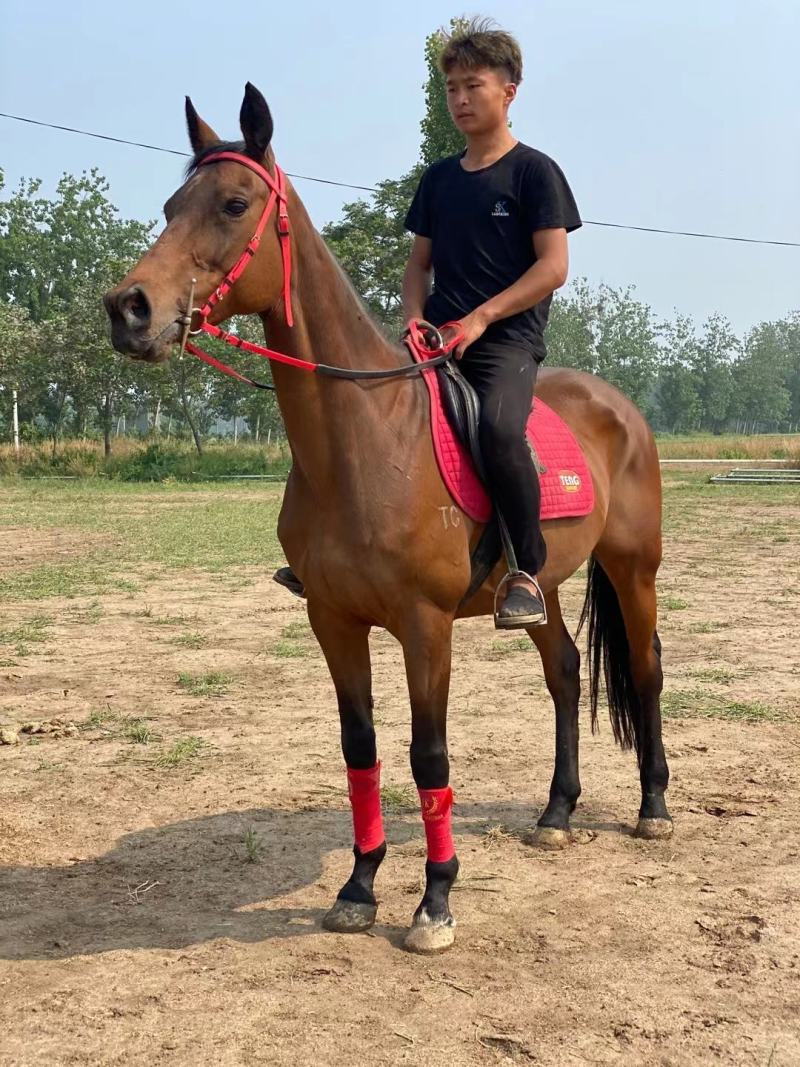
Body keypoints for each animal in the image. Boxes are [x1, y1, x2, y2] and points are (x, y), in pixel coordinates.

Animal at [104, 83, 672, 955]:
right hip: (538, 587)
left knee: (644, 669)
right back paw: (556, 811)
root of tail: (621, 408)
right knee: (567, 671)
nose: (128, 308)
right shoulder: (334, 620)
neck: (366, 440)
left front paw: (434, 901)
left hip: (633, 567)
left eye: (233, 203)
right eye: (171, 206)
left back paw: (653, 807)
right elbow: (361, 749)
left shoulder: (424, 625)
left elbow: (428, 755)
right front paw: (359, 885)